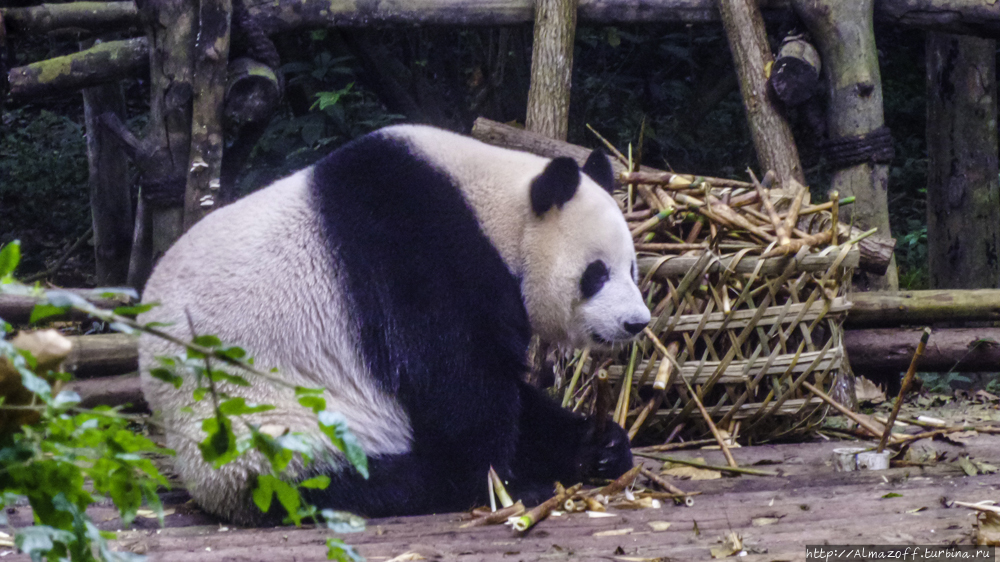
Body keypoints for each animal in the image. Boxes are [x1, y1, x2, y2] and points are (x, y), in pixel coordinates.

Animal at [141, 124, 652, 524]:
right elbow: (458, 384)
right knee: (341, 479)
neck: (495, 209)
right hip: (262, 419)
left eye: (631, 268)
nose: (636, 322)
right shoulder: (416, 254)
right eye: (596, 273)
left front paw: (601, 445)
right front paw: (504, 482)